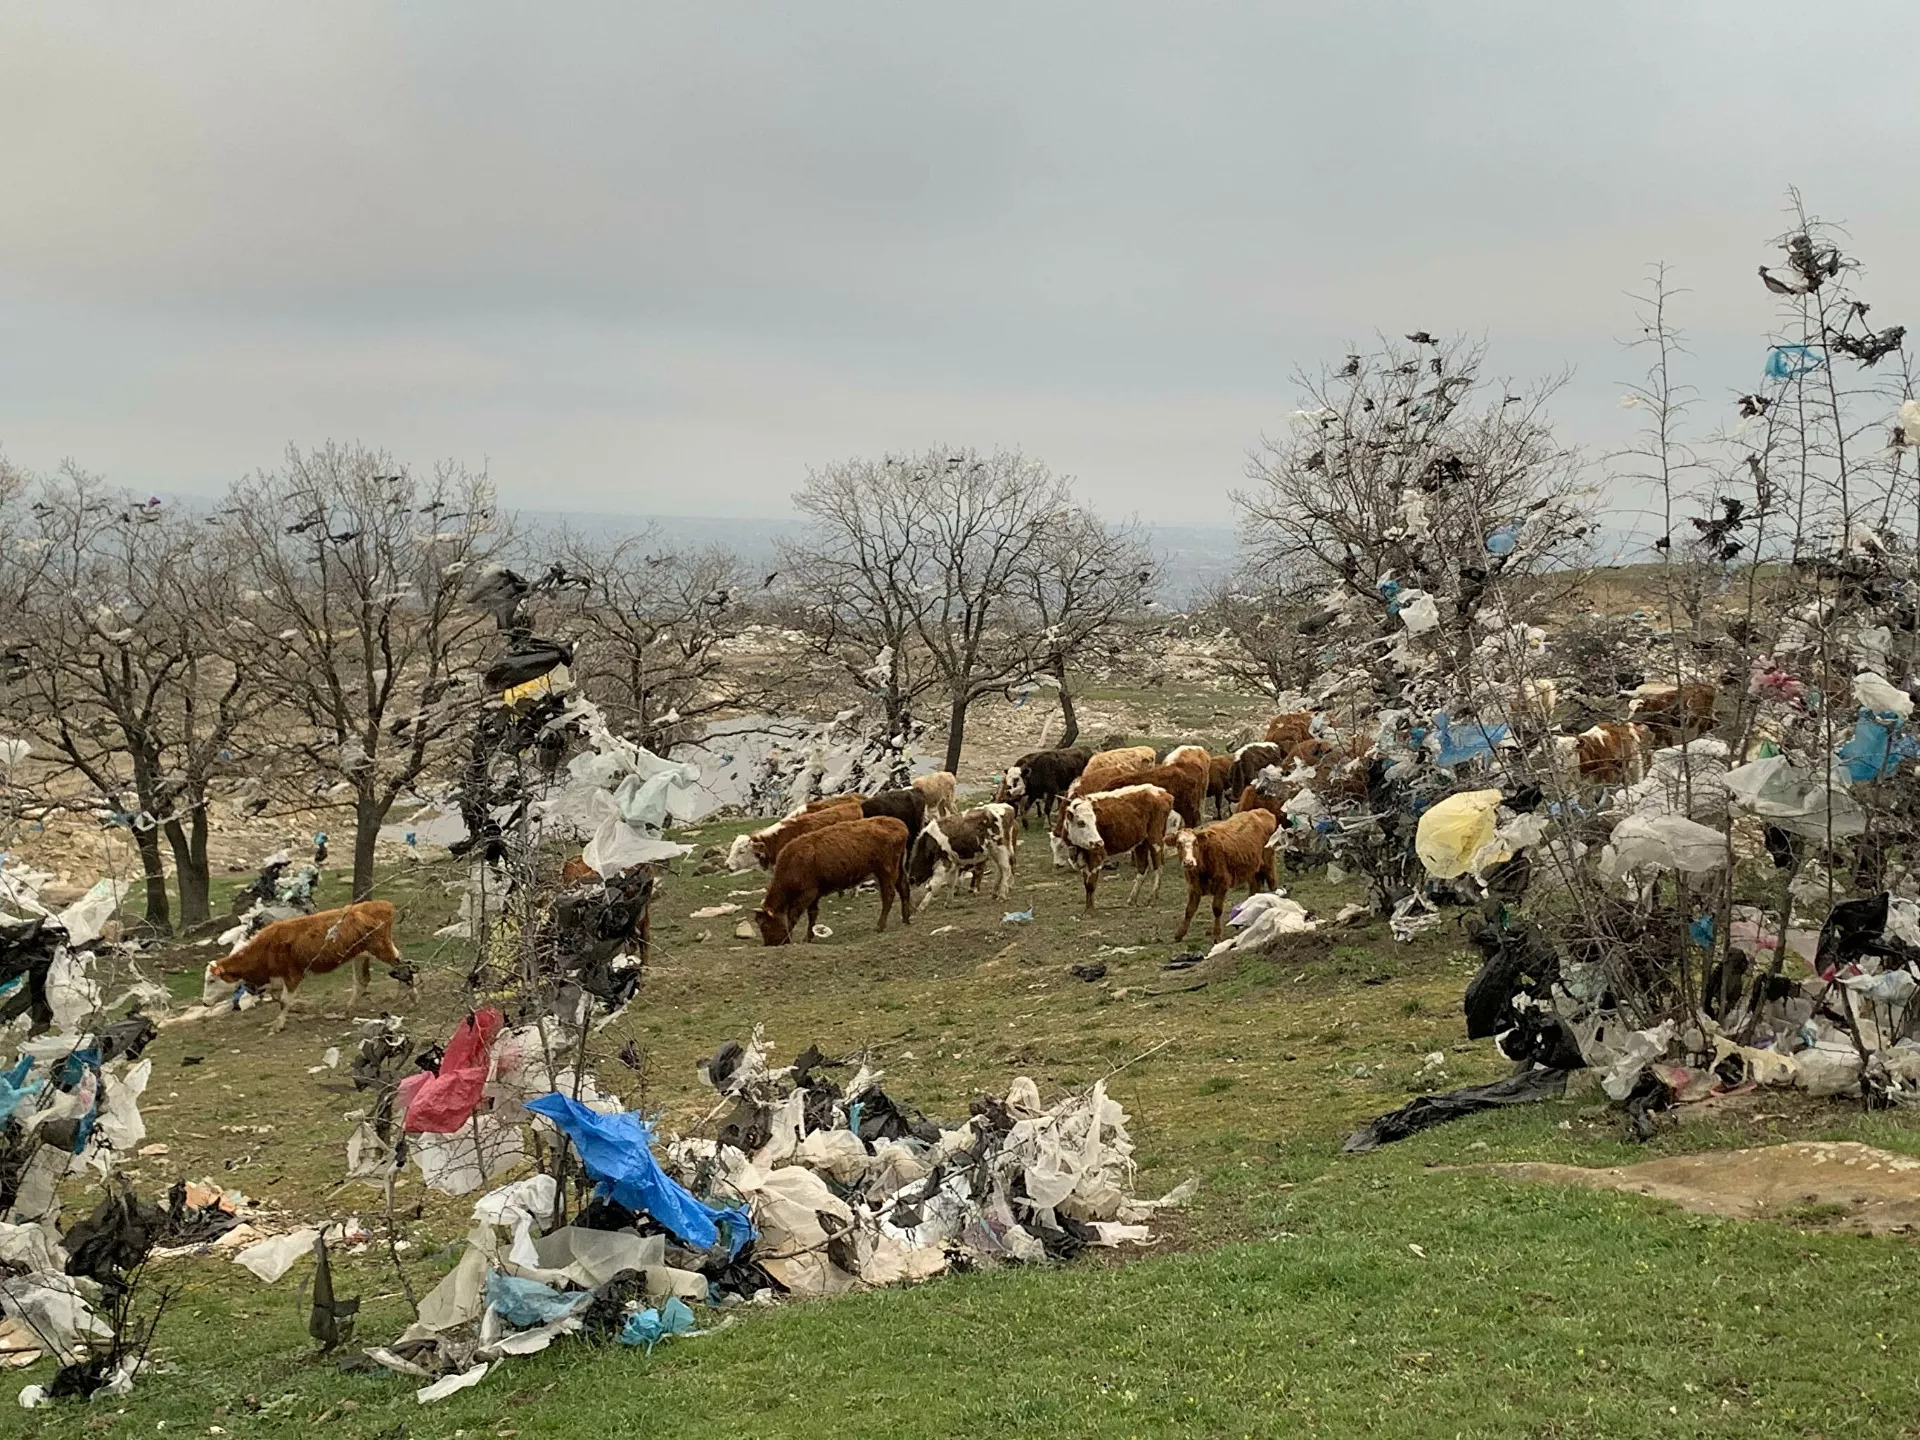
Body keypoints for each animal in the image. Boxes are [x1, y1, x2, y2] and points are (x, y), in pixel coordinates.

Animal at [203, 902, 412, 1036]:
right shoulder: (277, 978)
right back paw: (347, 1011)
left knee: (403, 965)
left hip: (381, 949)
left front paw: (278, 1025)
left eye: (211, 980)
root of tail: (381, 904)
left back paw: (412, 996)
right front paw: (304, 1007)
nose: (205, 1003)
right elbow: (279, 998)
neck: (266, 947)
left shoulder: (293, 975)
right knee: (363, 981)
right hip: (360, 955)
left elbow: (284, 1001)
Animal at [752, 817, 910, 952]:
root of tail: (900, 825)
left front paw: (790, 938)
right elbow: (812, 914)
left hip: (885, 871)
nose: (770, 944)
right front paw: (808, 937)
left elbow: (793, 916)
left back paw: (880, 926)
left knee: (889, 895)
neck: (792, 862)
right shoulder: (814, 894)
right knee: (904, 888)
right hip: (898, 869)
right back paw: (906, 919)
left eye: (764, 925)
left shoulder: (807, 894)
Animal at [1167, 814, 1274, 948]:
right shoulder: (1194, 888)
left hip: (1268, 861)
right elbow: (1189, 910)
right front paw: (1180, 934)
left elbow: (1217, 909)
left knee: (1272, 882)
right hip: (1252, 869)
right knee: (1254, 888)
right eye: (1178, 844)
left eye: (1195, 843)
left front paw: (1216, 935)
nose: (1188, 862)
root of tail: (1260, 812)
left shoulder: (1222, 884)